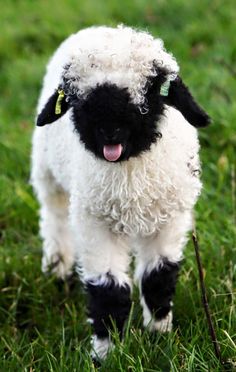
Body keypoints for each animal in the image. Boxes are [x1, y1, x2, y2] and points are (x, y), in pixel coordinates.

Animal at [31, 24, 210, 360]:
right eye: (77, 98)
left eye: (150, 89)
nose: (108, 129)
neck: (129, 180)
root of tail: (100, 27)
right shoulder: (95, 222)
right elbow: (108, 291)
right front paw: (106, 353)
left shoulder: (169, 219)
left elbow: (157, 278)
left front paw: (159, 337)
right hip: (47, 172)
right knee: (55, 215)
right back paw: (57, 265)